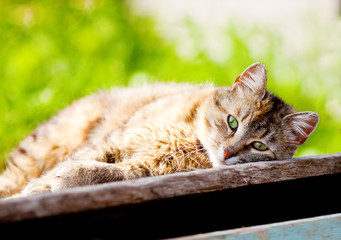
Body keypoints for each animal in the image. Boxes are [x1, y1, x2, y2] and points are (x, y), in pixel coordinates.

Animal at [0, 62, 318, 198]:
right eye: (233, 122)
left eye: (259, 146)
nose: (228, 152)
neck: (188, 137)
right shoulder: (113, 141)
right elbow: (75, 162)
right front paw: (41, 186)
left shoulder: (144, 169)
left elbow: (97, 171)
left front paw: (61, 180)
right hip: (39, 148)